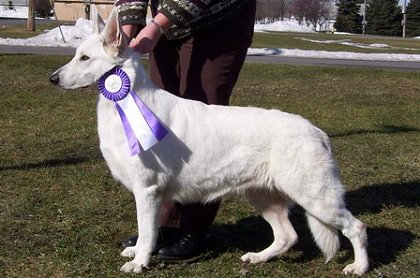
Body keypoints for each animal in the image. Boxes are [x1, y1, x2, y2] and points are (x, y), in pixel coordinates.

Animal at [50, 8, 370, 276]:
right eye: (77, 55)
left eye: (84, 58)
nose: (52, 79)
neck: (128, 99)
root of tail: (316, 131)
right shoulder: (151, 195)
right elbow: (146, 231)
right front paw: (138, 252)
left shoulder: (147, 190)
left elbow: (147, 232)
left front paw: (139, 262)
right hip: (263, 196)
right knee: (287, 236)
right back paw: (258, 257)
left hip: (315, 197)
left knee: (357, 227)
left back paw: (359, 267)